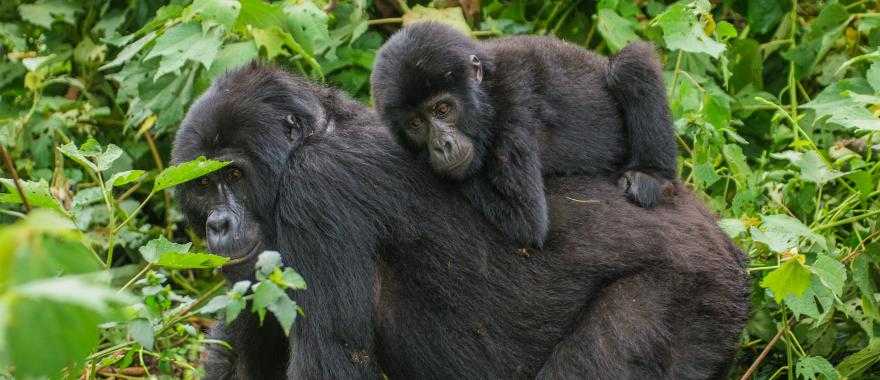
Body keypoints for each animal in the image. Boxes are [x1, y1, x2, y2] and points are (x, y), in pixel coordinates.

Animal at [172, 63, 748, 378]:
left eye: (233, 174)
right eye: (201, 185)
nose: (218, 225)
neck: (313, 136)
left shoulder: (318, 190)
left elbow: (335, 361)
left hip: (695, 286)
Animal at [370, 22, 672, 248]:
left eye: (442, 109)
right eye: (416, 124)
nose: (442, 145)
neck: (487, 91)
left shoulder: (512, 110)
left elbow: (525, 221)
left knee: (631, 64)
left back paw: (651, 174)